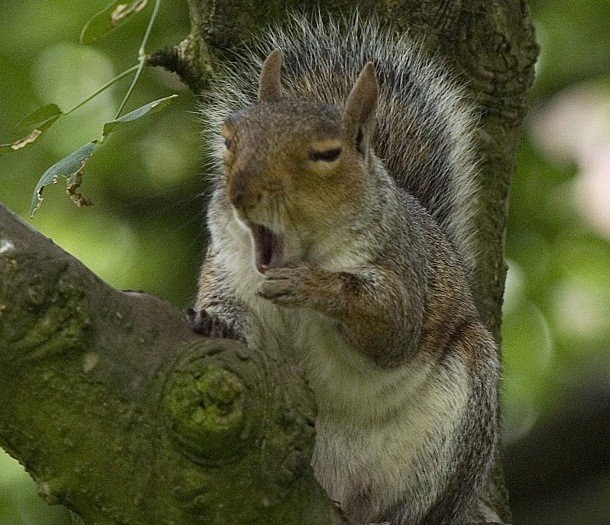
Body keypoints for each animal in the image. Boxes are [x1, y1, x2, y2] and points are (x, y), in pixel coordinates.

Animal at [189, 14, 498, 524]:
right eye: (229, 139)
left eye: (327, 154)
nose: (241, 193)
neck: (304, 245)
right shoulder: (228, 266)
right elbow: (234, 316)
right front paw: (216, 324)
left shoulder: (403, 267)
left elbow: (392, 328)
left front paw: (314, 285)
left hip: (463, 416)